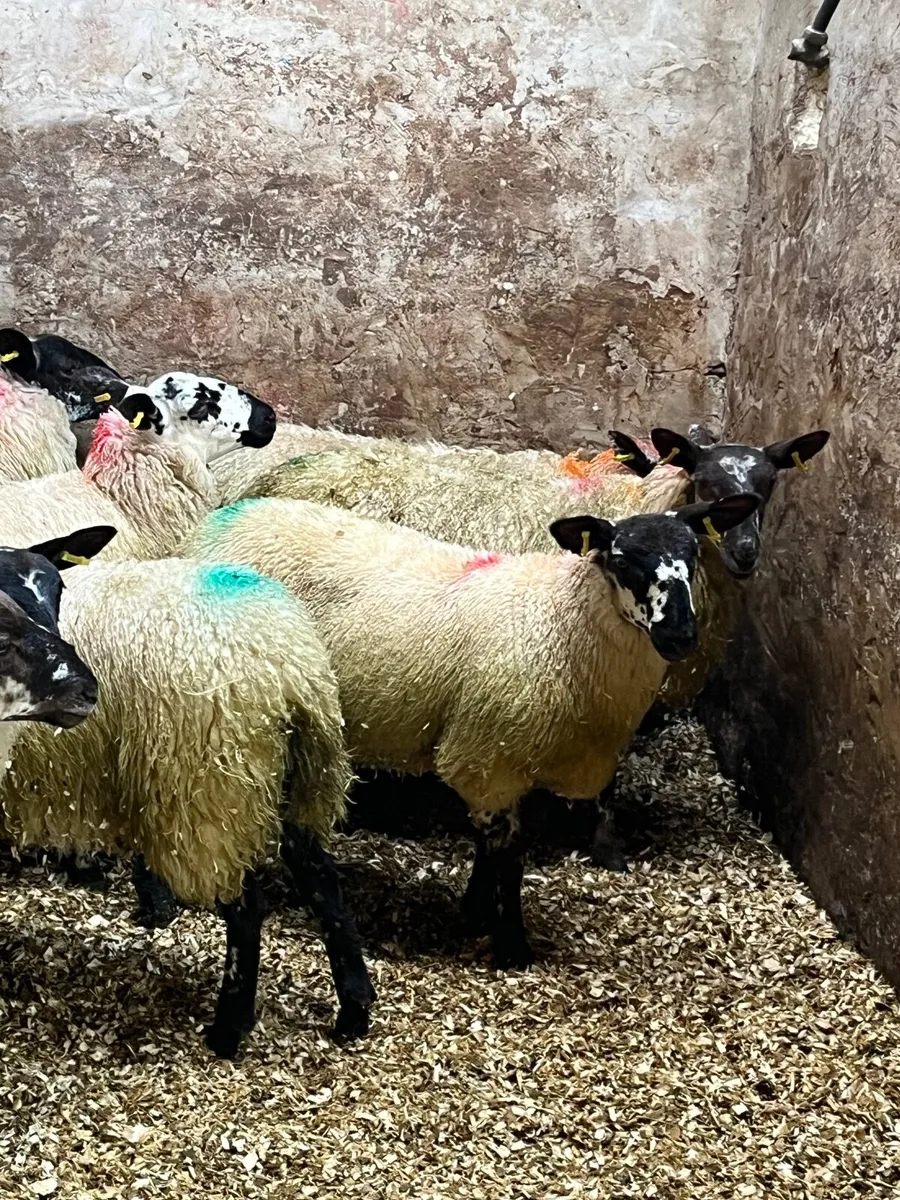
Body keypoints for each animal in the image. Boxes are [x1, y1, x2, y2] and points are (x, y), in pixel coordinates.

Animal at [1, 556, 376, 1057]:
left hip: (207, 788)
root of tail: (291, 666)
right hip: (292, 783)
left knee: (247, 909)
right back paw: (354, 1011)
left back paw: (229, 1030)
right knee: (323, 884)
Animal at [186, 492, 759, 967]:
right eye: (621, 560)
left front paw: (478, 911)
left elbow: (497, 845)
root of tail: (221, 519)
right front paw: (511, 944)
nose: (680, 634)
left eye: (694, 554)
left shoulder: (519, 760)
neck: (562, 622)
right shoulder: (486, 756)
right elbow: (508, 851)